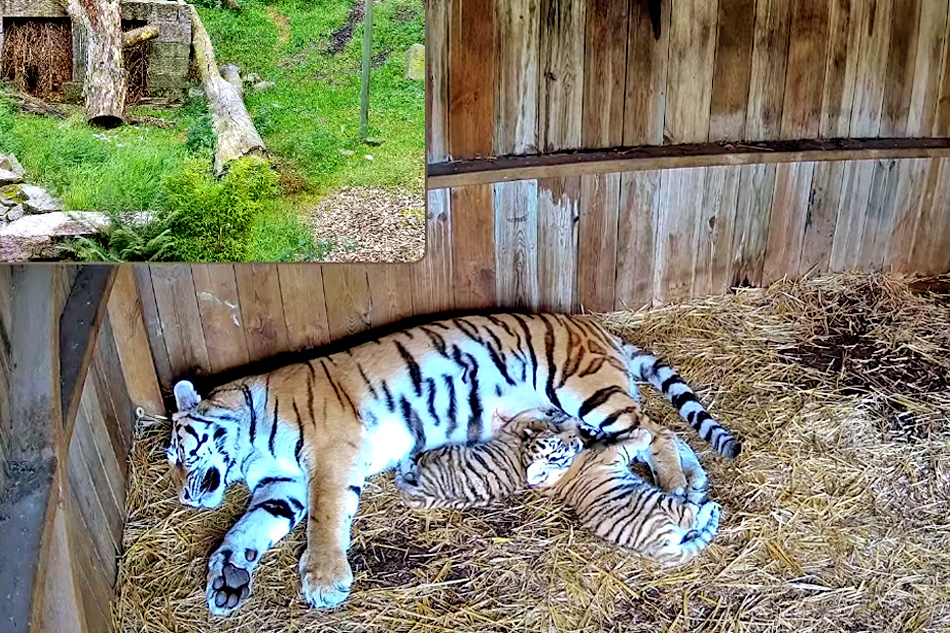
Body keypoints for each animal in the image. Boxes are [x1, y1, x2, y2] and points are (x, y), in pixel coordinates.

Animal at [396, 408, 720, 564]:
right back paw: (710, 506)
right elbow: (630, 442)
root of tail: (661, 551)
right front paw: (640, 433)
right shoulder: (611, 455)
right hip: (668, 507)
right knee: (692, 513)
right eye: (557, 450)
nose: (574, 440)